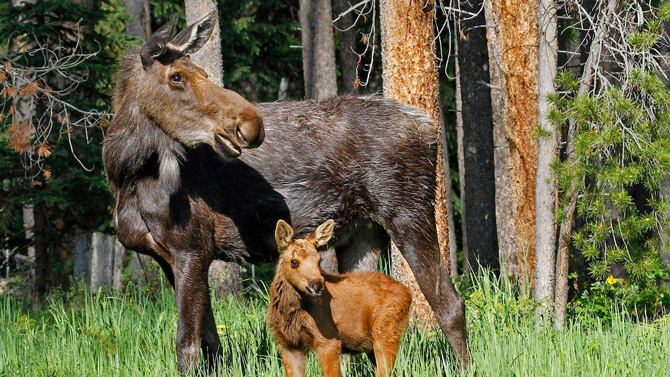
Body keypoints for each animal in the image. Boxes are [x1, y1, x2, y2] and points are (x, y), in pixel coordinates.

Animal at [266, 219, 412, 374]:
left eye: (319, 260)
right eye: (294, 261)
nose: (317, 285)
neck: (289, 312)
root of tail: (407, 293)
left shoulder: (329, 340)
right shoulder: (288, 345)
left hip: (386, 330)